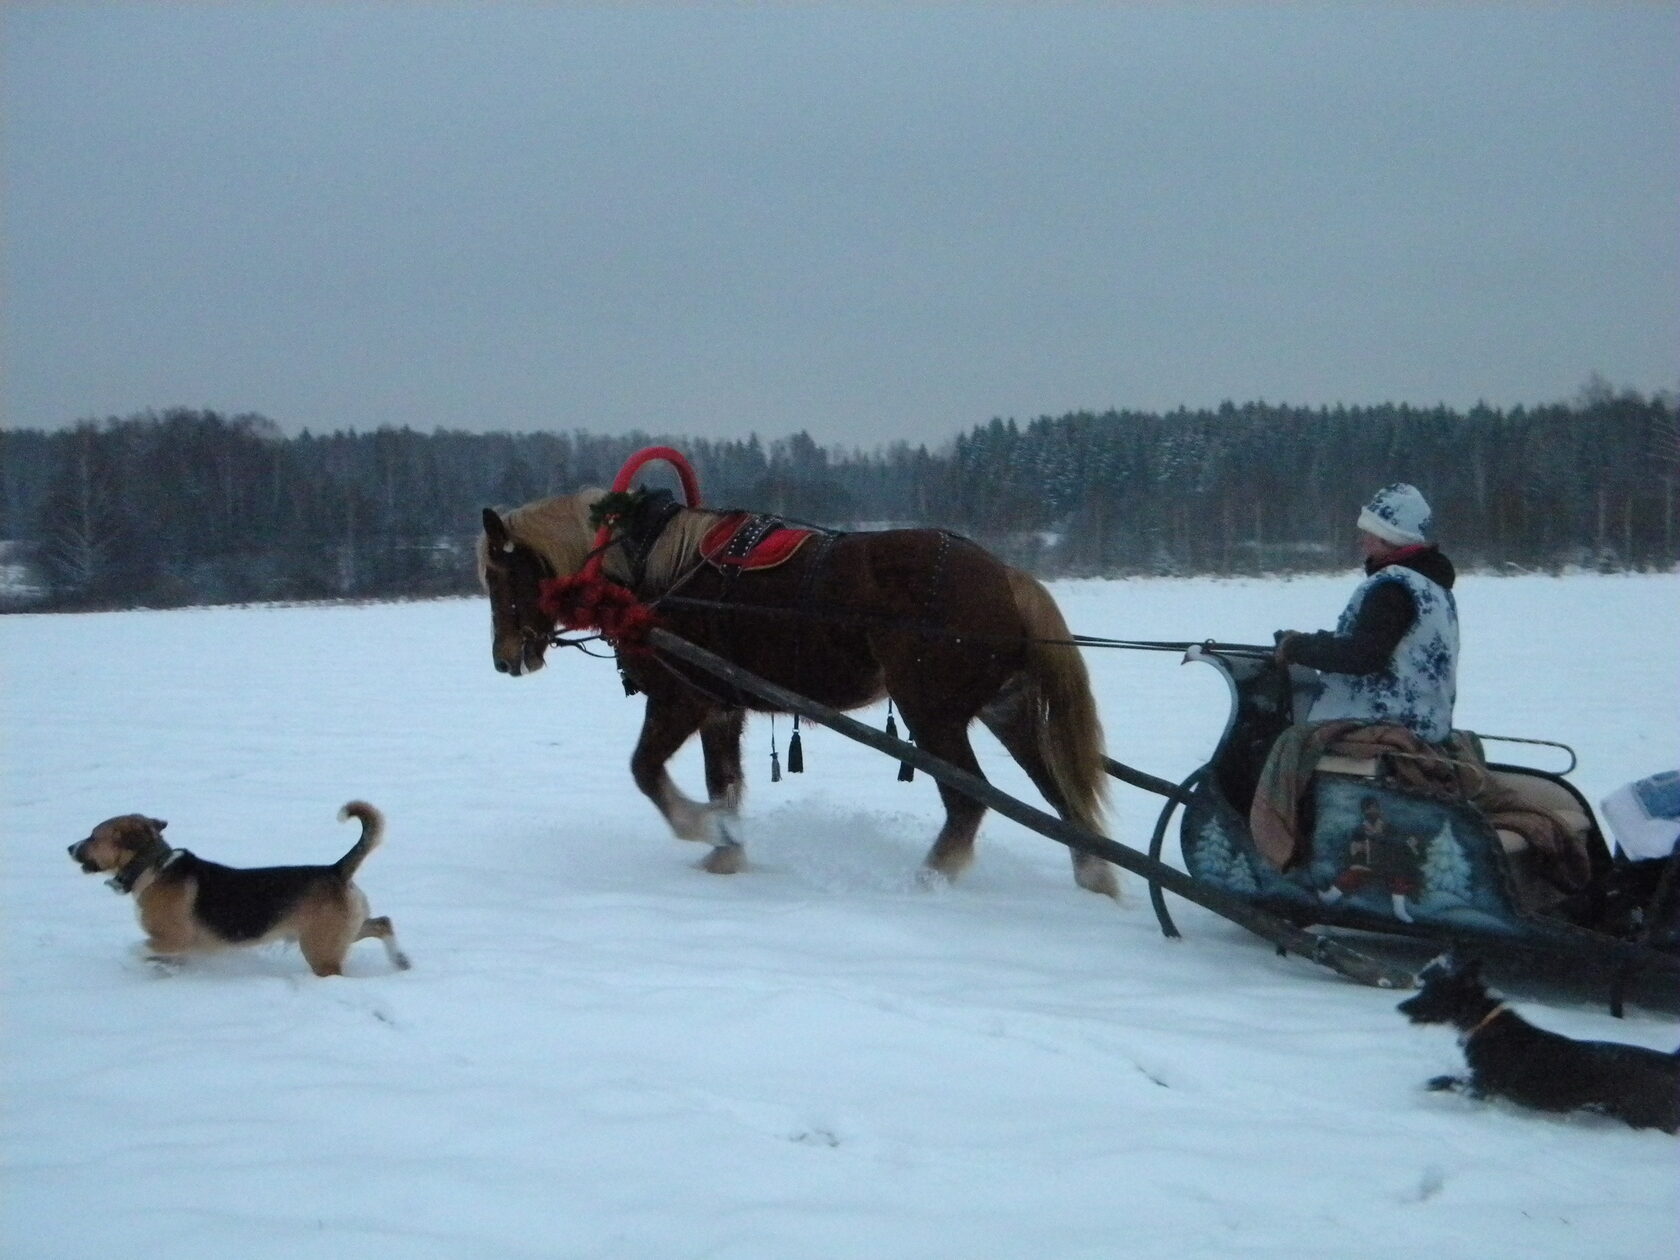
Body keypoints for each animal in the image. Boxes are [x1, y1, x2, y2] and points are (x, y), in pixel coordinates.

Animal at [68, 803, 409, 981]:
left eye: (94, 836)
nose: (70, 848)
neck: (153, 867)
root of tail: (335, 869)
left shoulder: (172, 939)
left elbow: (138, 948)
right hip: (344, 930)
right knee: (383, 923)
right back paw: (400, 962)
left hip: (320, 948)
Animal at [480, 493, 1122, 900]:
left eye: (500, 576)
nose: (505, 658)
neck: (645, 574)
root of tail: (1008, 578)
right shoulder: (721, 708)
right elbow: (724, 783)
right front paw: (727, 853)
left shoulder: (680, 699)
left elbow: (646, 772)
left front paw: (703, 830)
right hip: (1005, 710)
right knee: (1060, 796)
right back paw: (1095, 879)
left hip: (933, 715)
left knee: (969, 801)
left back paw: (929, 882)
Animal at [1391, 954, 1680, 1135]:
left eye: (1432, 993)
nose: (1399, 1007)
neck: (1484, 1022)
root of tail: (1670, 1060)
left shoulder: (1484, 1083)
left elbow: (1449, 1080)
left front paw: (1426, 1086)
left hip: (1645, 1116)